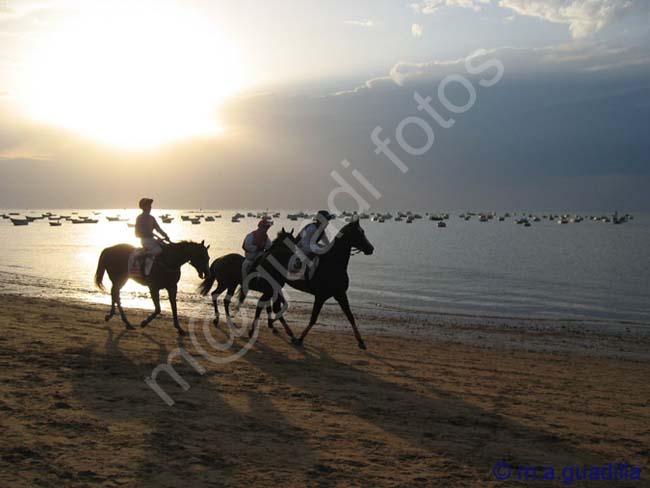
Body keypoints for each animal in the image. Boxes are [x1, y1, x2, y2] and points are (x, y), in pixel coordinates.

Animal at [286, 219, 372, 348]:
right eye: (359, 233)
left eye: (363, 232)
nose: (371, 248)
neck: (333, 264)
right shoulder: (320, 296)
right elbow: (313, 318)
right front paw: (300, 338)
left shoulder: (340, 294)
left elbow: (350, 316)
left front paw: (361, 341)